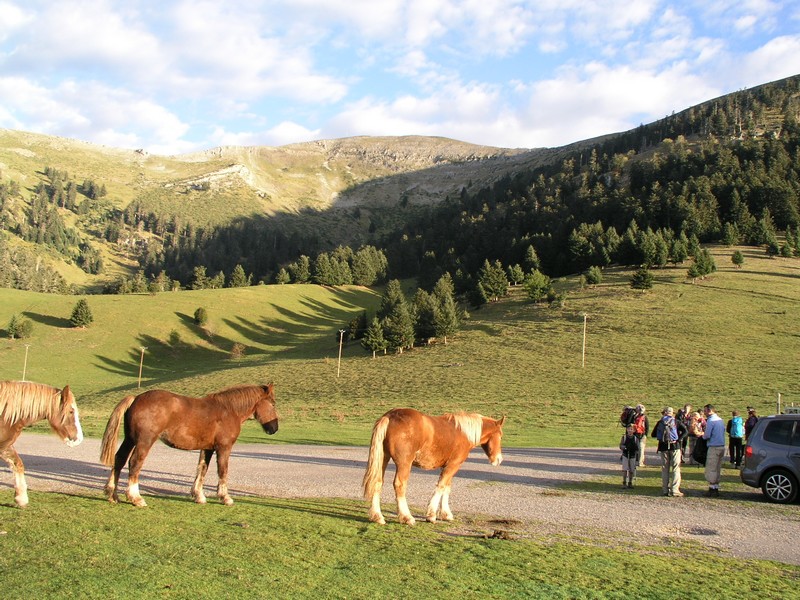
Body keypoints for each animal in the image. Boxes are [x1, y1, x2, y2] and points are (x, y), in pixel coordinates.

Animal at [99, 383, 278, 507]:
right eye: (273, 404)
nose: (274, 428)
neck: (229, 410)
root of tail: (136, 398)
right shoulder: (224, 447)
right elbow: (223, 470)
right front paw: (225, 497)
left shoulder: (207, 448)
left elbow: (202, 469)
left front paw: (199, 496)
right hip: (144, 441)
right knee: (134, 463)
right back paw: (136, 498)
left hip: (130, 439)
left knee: (119, 459)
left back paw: (112, 495)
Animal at [362, 407, 505, 526]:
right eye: (500, 435)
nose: (499, 459)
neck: (462, 433)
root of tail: (390, 416)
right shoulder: (453, 465)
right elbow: (441, 486)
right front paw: (431, 515)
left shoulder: (448, 466)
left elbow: (447, 488)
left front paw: (446, 514)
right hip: (404, 464)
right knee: (399, 485)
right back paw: (406, 517)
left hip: (383, 459)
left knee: (377, 482)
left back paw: (377, 516)